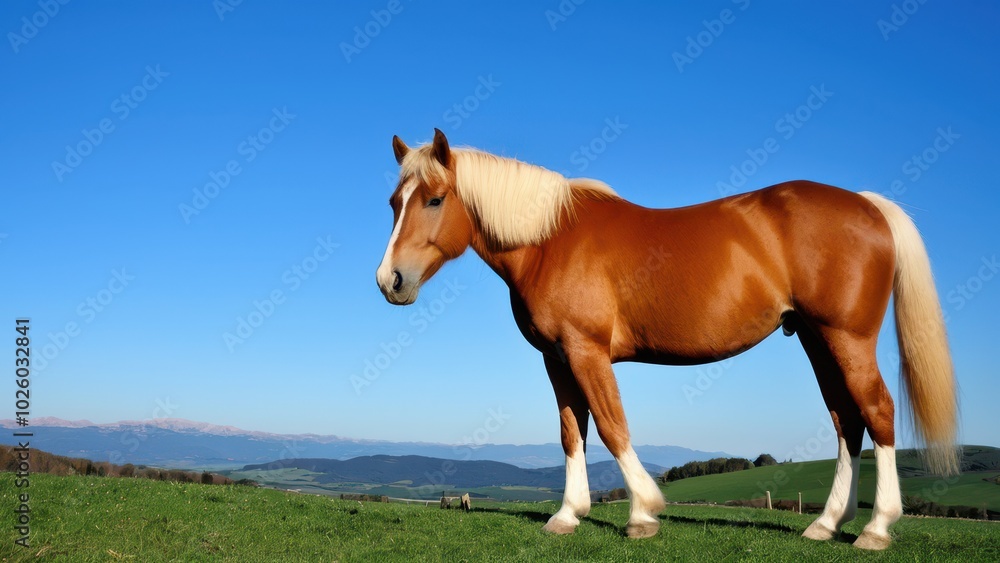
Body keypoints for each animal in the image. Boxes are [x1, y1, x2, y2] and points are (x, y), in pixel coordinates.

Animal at [375, 129, 958, 550]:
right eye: (394, 202)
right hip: (817, 340)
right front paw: (567, 515)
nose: (390, 281)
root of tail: (867, 205)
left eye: (435, 199)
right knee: (846, 423)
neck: (549, 240)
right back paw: (826, 524)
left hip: (847, 338)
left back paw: (876, 528)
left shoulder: (586, 351)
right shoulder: (557, 359)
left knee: (877, 412)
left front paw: (642, 513)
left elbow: (612, 427)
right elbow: (572, 434)